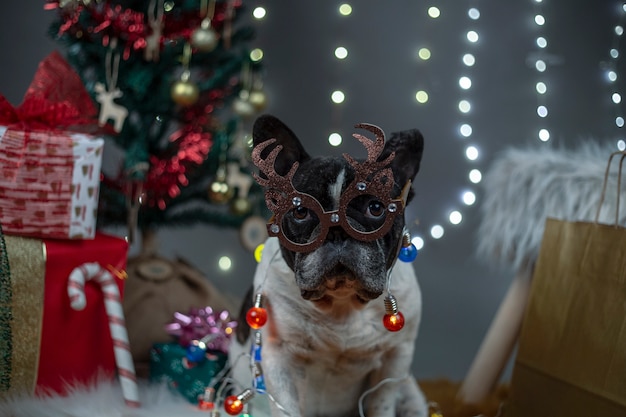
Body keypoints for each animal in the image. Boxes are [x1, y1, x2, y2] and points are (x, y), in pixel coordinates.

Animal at [229, 114, 428, 416]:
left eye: (375, 208)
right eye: (300, 212)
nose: (337, 231)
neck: (342, 304)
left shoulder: (395, 358)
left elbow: (381, 404)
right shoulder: (278, 356)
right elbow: (287, 408)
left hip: (411, 394)